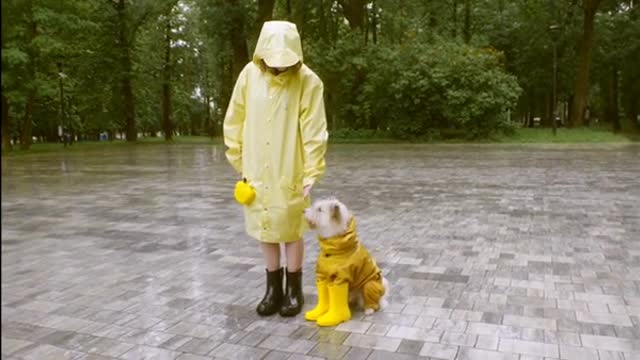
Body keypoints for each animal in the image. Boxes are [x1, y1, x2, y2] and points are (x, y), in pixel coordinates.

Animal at [302, 197, 388, 326]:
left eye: (319, 209)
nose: (303, 211)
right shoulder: (323, 275)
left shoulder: (342, 277)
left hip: (369, 285)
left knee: (374, 302)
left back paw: (369, 309)